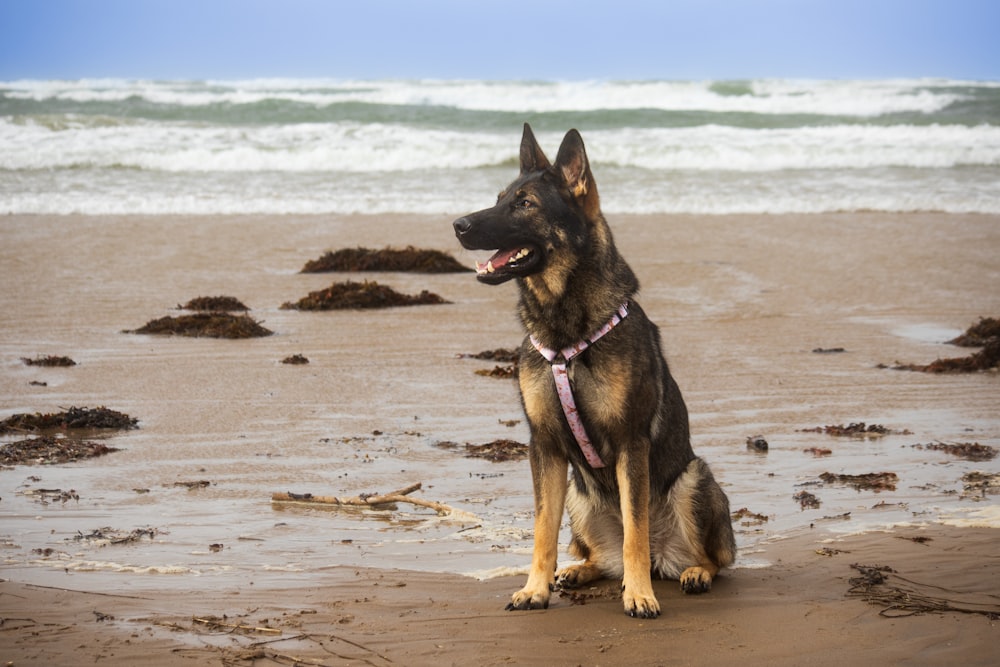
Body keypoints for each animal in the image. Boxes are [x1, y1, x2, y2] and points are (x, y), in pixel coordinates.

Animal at [454, 122, 736, 620]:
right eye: (498, 197)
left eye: (525, 204)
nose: (458, 225)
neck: (565, 332)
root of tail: (667, 556)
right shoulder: (545, 446)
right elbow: (542, 531)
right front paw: (535, 588)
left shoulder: (630, 443)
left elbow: (635, 534)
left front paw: (639, 594)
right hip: (578, 496)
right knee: (602, 557)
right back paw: (580, 570)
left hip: (694, 478)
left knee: (709, 556)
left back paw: (693, 572)